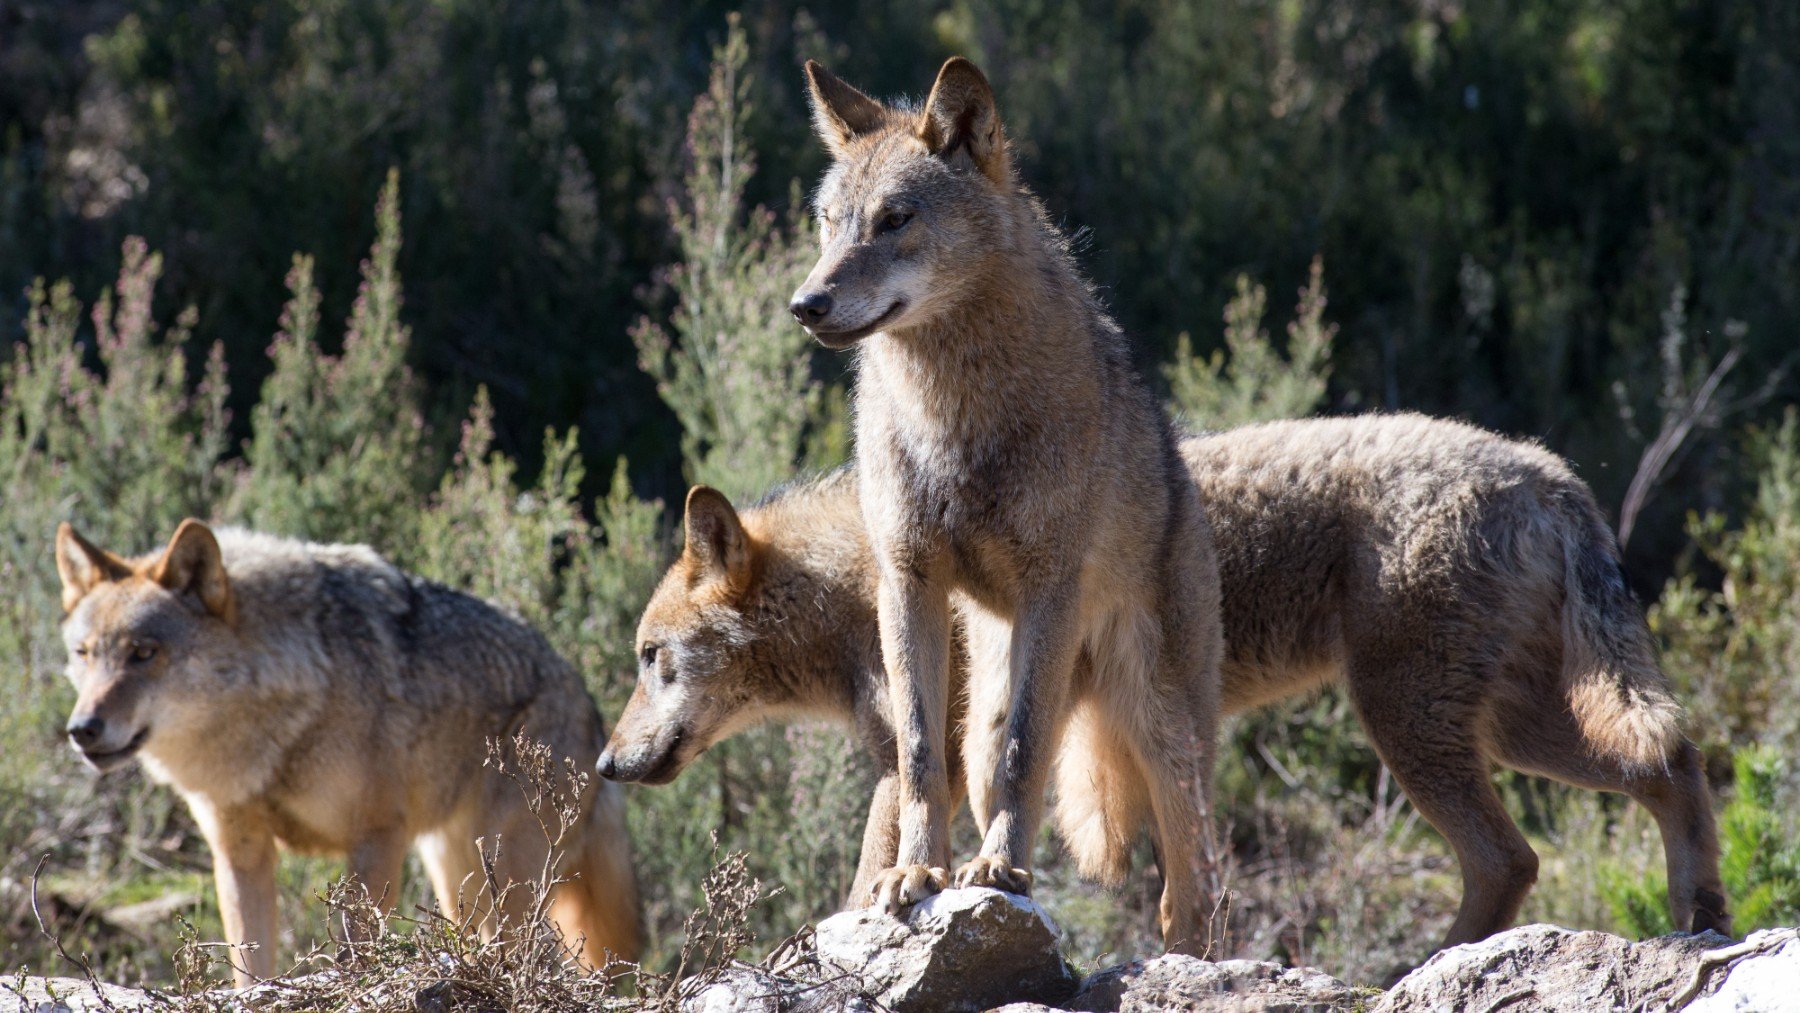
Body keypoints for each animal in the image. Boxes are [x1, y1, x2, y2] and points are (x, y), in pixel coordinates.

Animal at [56, 518, 640, 986]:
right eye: (84, 654)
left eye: (144, 653)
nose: (82, 729)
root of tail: (588, 702)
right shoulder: (240, 853)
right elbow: (250, 966)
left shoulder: (376, 839)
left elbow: (356, 953)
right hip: (459, 883)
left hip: (507, 884)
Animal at [604, 417, 1728, 957]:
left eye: (652, 658)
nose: (608, 763)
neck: (858, 583)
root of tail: (1549, 471)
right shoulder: (921, 763)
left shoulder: (933, 761)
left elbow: (873, 874)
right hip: (1516, 727)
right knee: (1670, 764)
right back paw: (1699, 913)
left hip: (1418, 727)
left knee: (1512, 853)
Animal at [774, 59, 1224, 957]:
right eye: (829, 224)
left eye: (896, 219)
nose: (806, 304)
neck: (952, 415)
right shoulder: (906, 581)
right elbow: (918, 755)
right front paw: (916, 872)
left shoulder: (1051, 583)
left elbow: (1028, 752)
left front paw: (1000, 872)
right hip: (988, 711)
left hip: (1162, 732)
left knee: (1187, 892)